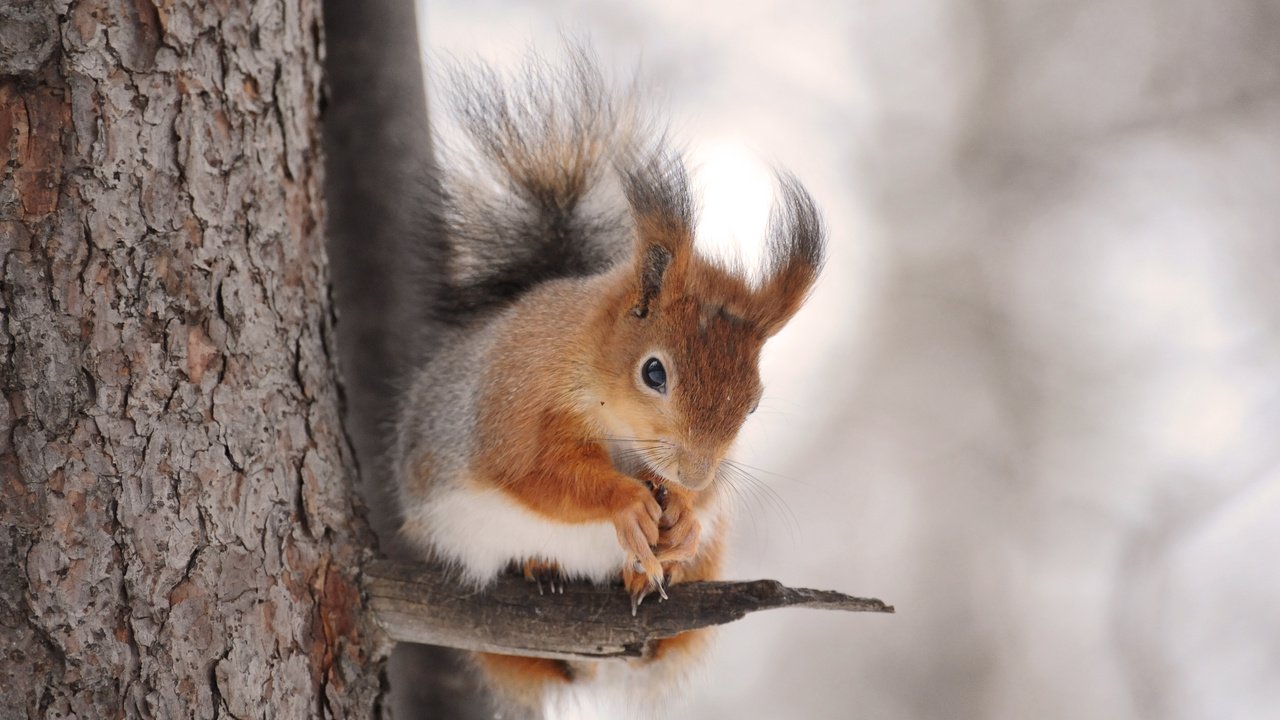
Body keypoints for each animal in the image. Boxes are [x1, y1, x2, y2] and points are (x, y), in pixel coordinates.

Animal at [394, 49, 824, 712]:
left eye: (754, 404)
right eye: (654, 372)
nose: (693, 472)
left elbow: (704, 503)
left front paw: (686, 515)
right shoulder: (513, 407)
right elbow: (540, 477)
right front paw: (626, 501)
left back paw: (647, 573)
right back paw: (542, 569)